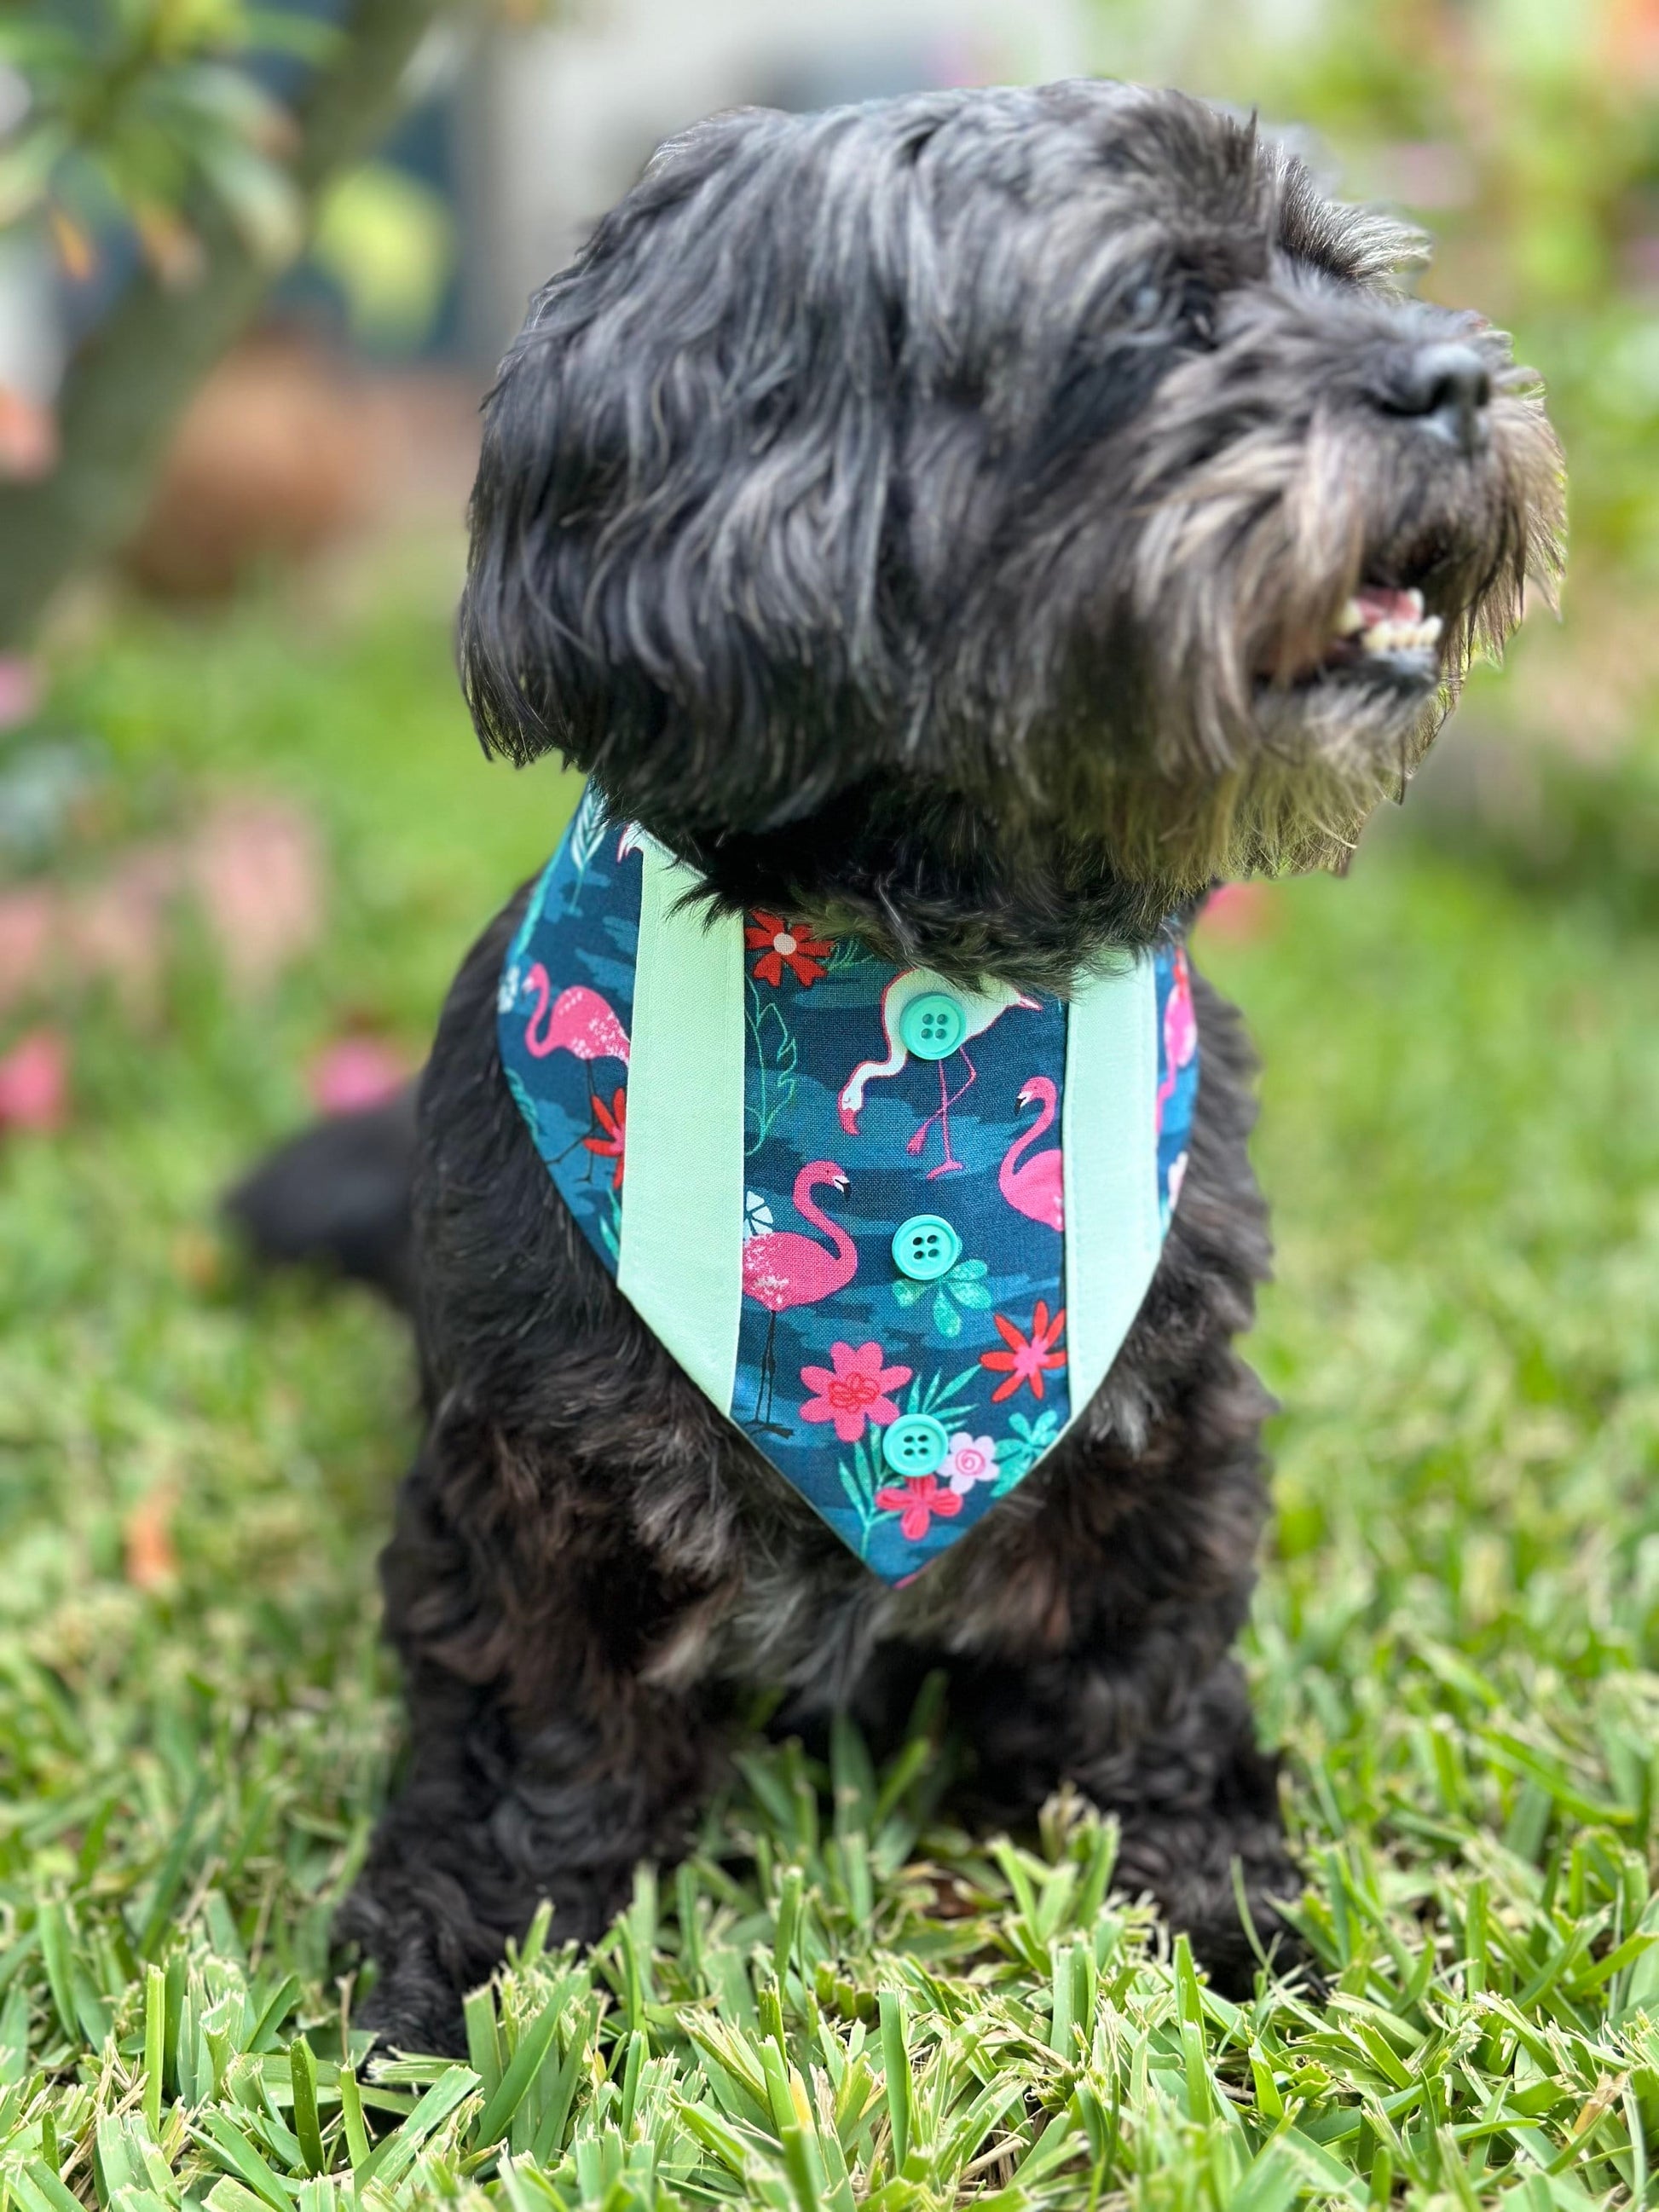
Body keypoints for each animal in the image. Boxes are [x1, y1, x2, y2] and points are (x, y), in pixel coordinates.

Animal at [228, 86, 1566, 2053]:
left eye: (1343, 272)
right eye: (1160, 307)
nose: (1454, 378)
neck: (933, 968)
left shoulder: (1163, 1435)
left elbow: (1144, 1691)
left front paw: (1218, 1915)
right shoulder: (530, 1480)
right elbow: (535, 1732)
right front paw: (472, 1966)